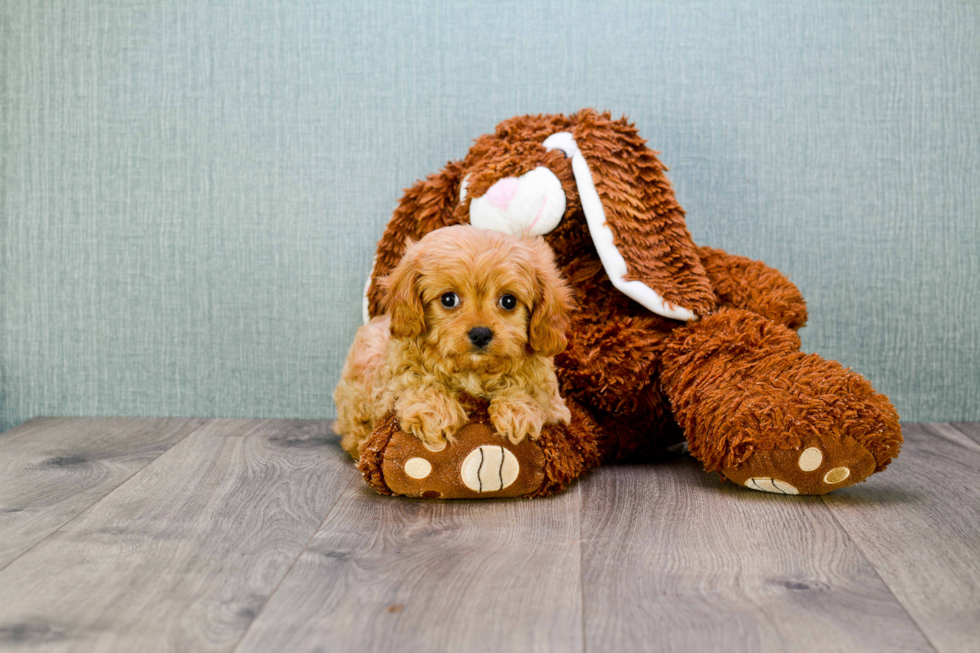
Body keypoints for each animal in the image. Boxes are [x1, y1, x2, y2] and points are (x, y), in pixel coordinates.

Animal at [334, 224, 576, 458]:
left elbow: (534, 396)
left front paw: (517, 410)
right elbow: (415, 382)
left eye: (508, 301)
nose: (480, 333)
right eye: (448, 299)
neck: (473, 372)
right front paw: (435, 411)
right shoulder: (389, 386)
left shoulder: (555, 405)